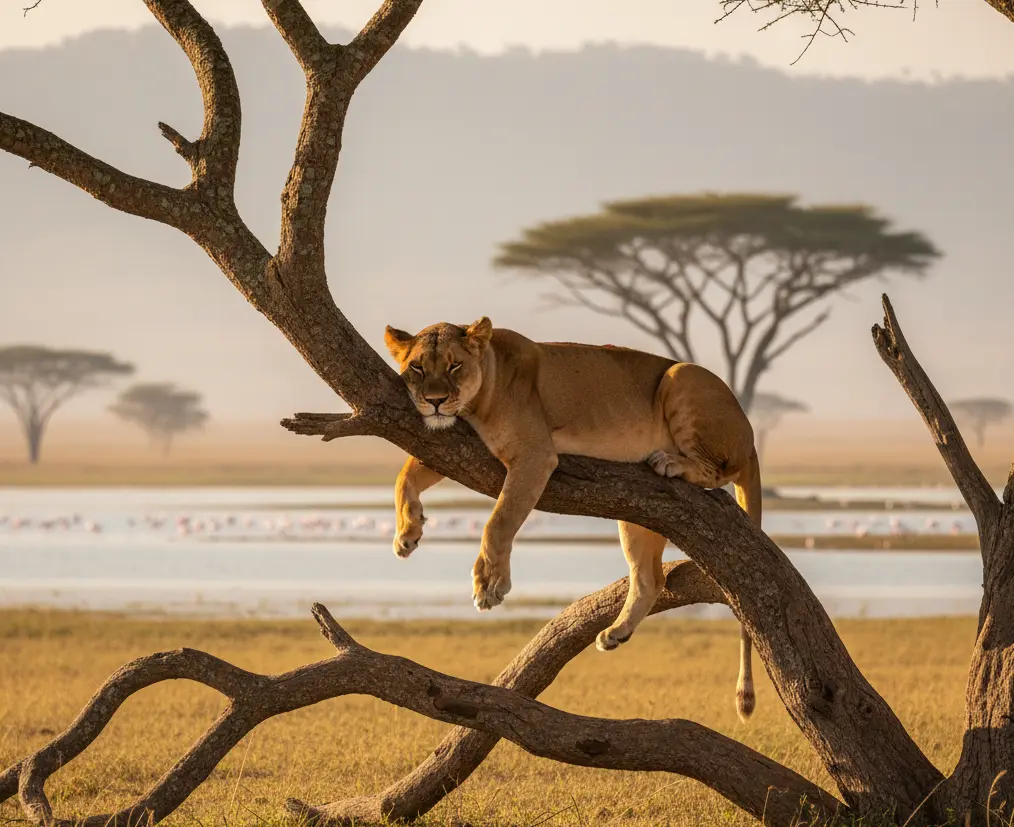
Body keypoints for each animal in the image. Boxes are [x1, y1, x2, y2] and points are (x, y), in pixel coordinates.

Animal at [383, 316, 762, 720]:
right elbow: (405, 474)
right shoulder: (453, 443)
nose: (435, 401)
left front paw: (489, 584)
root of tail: (750, 431)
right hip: (635, 515)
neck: (480, 394)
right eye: (417, 368)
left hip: (681, 377)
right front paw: (407, 533)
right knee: (650, 578)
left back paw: (672, 463)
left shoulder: (535, 455)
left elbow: (498, 521)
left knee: (718, 470)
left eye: (454, 365)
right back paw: (616, 633)